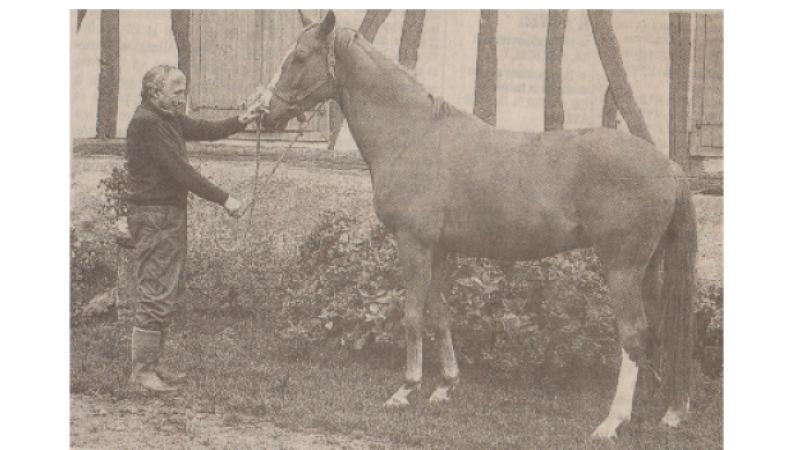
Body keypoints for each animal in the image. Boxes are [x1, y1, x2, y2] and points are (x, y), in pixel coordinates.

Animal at [261, 10, 697, 438]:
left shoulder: (413, 244)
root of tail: (669, 166)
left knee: (633, 335)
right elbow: (440, 314)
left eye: (299, 56)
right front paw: (445, 385)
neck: (413, 135)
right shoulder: (439, 249)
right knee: (656, 332)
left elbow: (412, 315)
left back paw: (613, 421)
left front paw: (406, 389)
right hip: (647, 269)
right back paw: (663, 410)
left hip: (621, 268)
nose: (266, 115)